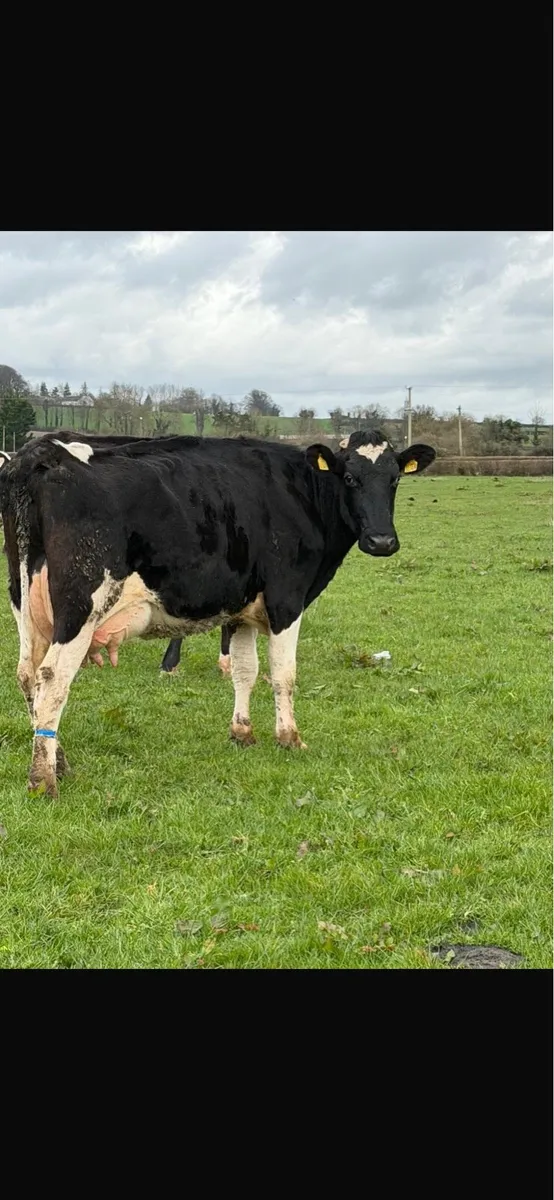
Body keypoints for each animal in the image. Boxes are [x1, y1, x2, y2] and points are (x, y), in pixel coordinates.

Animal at [0, 428, 435, 796]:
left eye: (394, 479)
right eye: (349, 478)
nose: (382, 541)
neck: (300, 492)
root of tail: (40, 451)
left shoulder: (240, 609)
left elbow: (245, 671)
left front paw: (242, 732)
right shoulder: (286, 599)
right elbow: (283, 674)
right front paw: (290, 737)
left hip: (25, 603)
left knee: (28, 677)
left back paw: (59, 763)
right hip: (82, 606)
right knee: (52, 679)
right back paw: (43, 780)